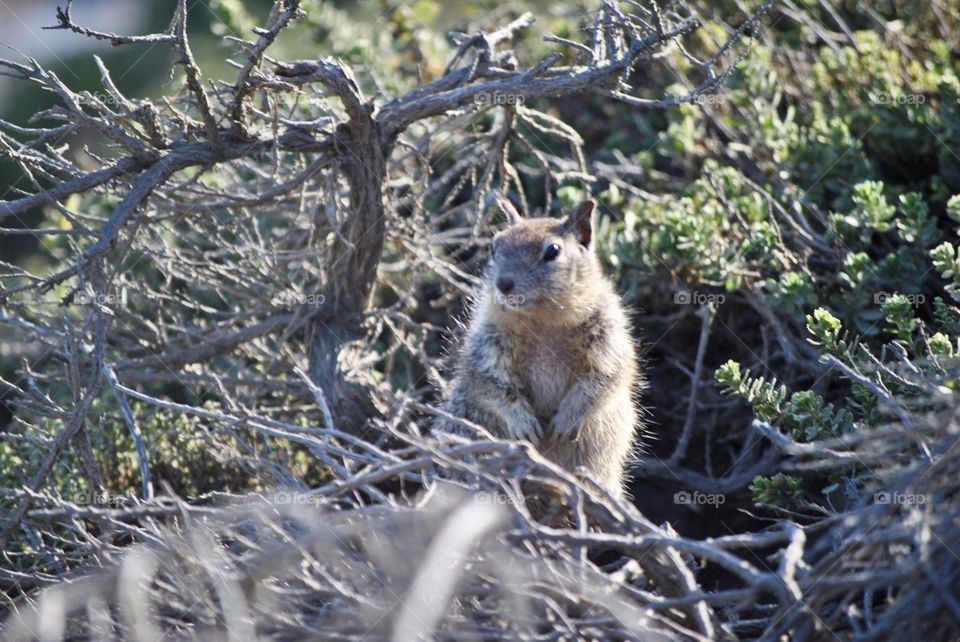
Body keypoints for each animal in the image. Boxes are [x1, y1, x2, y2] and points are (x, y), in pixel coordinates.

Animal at [438, 195, 640, 490]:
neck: (542, 323)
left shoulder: (609, 341)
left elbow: (600, 381)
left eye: (552, 251)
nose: (504, 284)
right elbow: (491, 384)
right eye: (494, 247)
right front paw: (524, 424)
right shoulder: (486, 346)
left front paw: (565, 420)